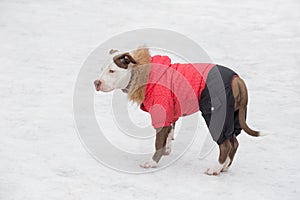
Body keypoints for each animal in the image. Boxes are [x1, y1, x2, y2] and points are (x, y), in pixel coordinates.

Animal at [93, 47, 262, 175]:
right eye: (101, 69)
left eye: (112, 71)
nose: (96, 82)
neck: (142, 73)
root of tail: (237, 79)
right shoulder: (170, 112)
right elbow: (169, 133)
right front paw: (167, 149)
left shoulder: (160, 113)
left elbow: (158, 142)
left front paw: (152, 162)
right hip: (232, 116)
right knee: (234, 142)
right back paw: (224, 167)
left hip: (216, 114)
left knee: (226, 145)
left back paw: (215, 168)